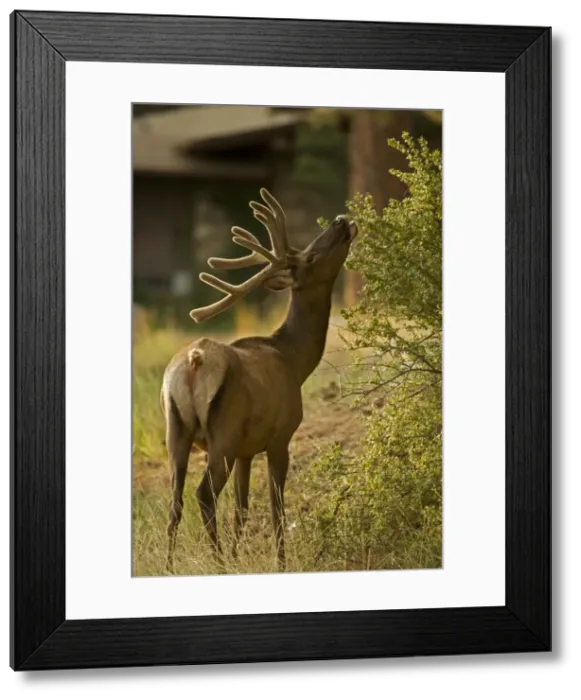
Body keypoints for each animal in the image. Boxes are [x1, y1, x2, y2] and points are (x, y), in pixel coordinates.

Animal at [160, 187, 358, 572]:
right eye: (311, 255)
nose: (341, 220)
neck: (295, 360)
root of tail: (194, 361)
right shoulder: (280, 436)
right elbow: (276, 507)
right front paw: (280, 563)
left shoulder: (246, 450)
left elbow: (242, 509)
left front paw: (242, 556)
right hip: (223, 430)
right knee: (203, 494)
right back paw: (218, 563)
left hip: (176, 426)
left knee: (175, 501)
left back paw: (171, 567)